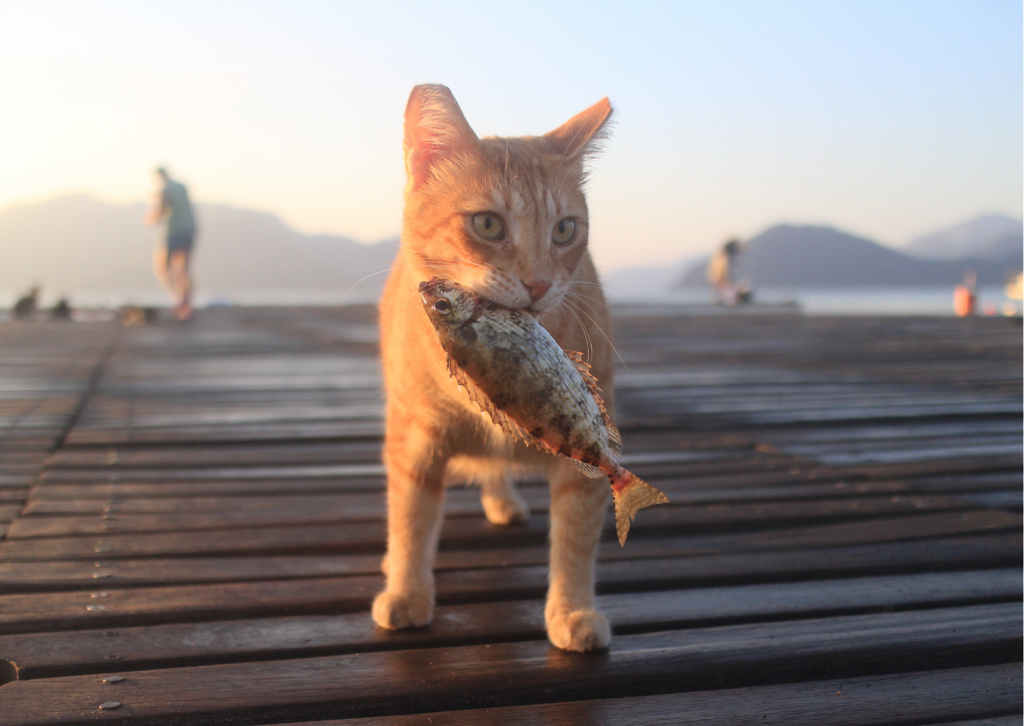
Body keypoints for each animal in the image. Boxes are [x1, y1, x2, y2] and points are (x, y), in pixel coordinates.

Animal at [376, 84, 614, 651]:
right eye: (487, 224)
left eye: (565, 230)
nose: (539, 284)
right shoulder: (414, 443)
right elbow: (411, 519)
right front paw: (406, 590)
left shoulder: (585, 459)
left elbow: (575, 541)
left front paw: (572, 611)